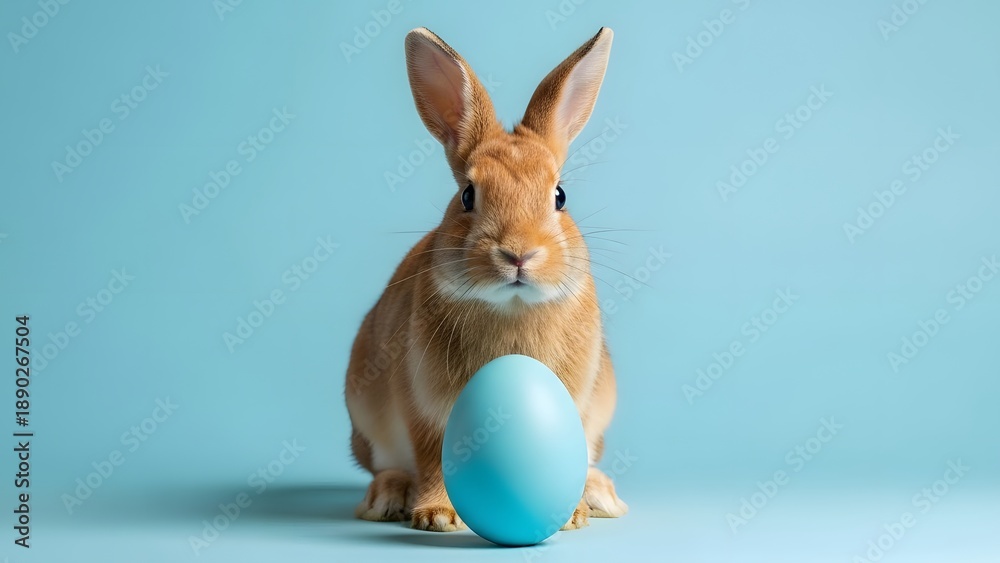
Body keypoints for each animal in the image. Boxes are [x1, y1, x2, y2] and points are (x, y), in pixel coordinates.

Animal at [344, 26, 628, 532]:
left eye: (560, 196)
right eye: (467, 195)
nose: (518, 253)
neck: (511, 306)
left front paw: (571, 515)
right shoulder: (424, 407)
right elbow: (433, 458)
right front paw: (437, 515)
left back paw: (600, 495)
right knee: (386, 465)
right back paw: (387, 497)